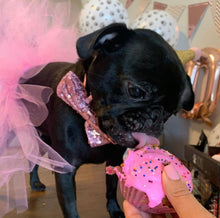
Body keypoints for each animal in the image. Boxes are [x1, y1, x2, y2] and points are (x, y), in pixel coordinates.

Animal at [26, 23, 194, 217]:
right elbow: (71, 207)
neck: (94, 127)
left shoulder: (113, 161)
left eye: (171, 112)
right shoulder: (66, 171)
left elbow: (111, 187)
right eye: (136, 91)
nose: (155, 116)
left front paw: (114, 209)